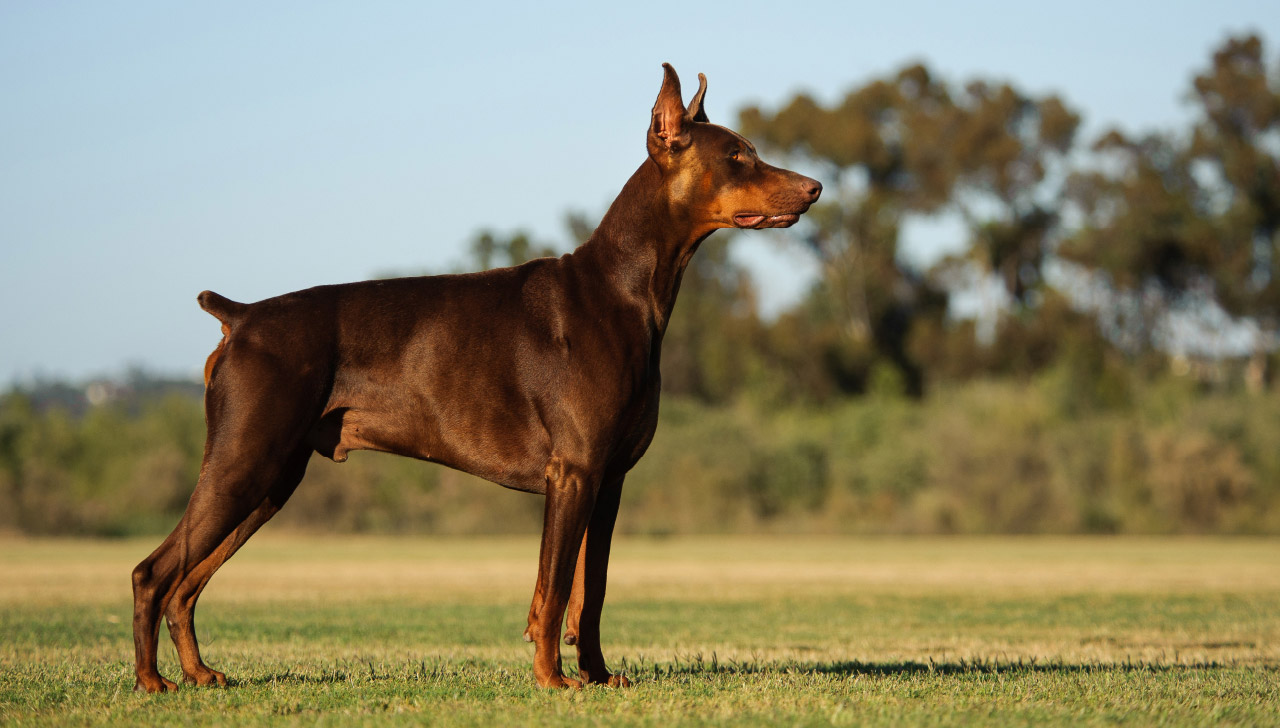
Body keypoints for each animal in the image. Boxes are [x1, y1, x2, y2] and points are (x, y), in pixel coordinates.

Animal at [129, 63, 819, 690]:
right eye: (738, 156)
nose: (813, 188)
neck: (624, 289)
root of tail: (241, 316)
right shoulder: (573, 472)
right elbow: (554, 587)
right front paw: (552, 680)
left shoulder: (609, 481)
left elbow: (590, 591)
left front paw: (596, 676)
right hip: (244, 461)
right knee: (154, 573)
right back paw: (151, 682)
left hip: (273, 479)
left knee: (187, 582)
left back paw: (198, 674)